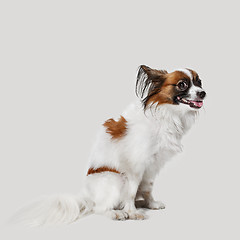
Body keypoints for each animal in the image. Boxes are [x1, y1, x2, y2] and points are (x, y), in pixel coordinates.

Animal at [13, 65, 206, 225]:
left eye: (199, 82)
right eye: (182, 85)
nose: (203, 93)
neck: (168, 116)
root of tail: (86, 196)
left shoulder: (152, 167)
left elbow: (147, 188)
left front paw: (150, 204)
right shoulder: (135, 167)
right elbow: (131, 191)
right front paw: (132, 212)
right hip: (115, 179)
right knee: (98, 208)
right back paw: (116, 212)